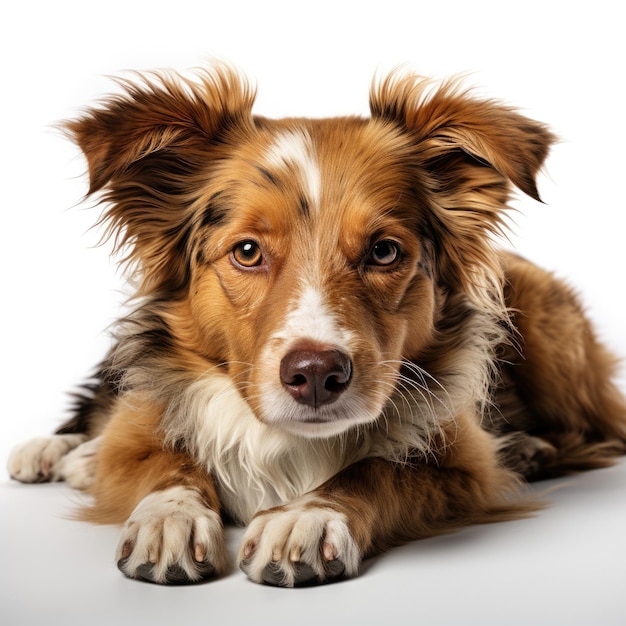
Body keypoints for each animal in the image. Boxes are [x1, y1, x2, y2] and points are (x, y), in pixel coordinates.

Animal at [8, 64, 624, 584]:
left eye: (383, 251)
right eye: (247, 251)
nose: (316, 374)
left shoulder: (466, 465)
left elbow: (380, 470)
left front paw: (306, 517)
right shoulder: (140, 433)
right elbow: (164, 458)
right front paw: (169, 517)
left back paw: (531, 448)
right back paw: (57, 452)